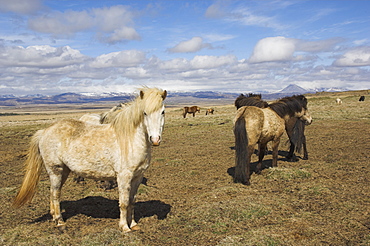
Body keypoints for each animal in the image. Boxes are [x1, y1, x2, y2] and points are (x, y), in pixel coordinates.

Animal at [12, 87, 166, 234]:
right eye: (144, 113)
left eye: (163, 112)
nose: (155, 139)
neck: (129, 140)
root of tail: (44, 131)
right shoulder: (123, 177)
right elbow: (124, 203)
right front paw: (124, 227)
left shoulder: (137, 177)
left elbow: (132, 201)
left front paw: (133, 225)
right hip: (55, 170)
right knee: (55, 194)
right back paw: (60, 223)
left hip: (64, 171)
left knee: (53, 193)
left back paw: (55, 218)